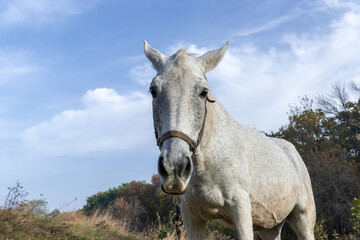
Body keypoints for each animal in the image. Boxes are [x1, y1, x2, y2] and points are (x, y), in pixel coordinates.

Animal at [143, 41, 316, 240]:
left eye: (203, 92)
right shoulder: (191, 215)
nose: (174, 168)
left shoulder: (240, 209)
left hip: (303, 220)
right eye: (153, 91)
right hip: (269, 227)